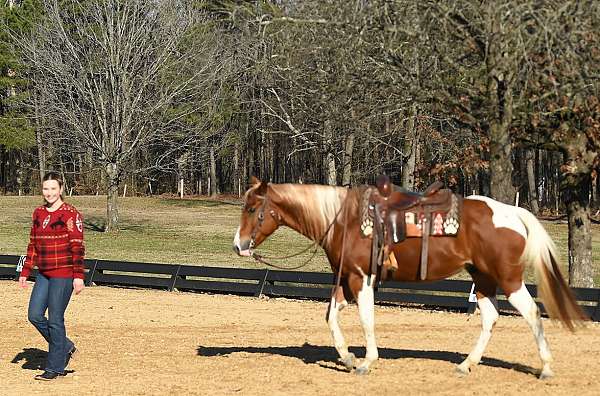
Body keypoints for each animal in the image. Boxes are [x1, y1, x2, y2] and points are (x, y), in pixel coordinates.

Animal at [233, 176, 584, 378]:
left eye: (251, 209)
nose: (239, 245)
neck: (343, 219)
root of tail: (513, 213)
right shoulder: (345, 280)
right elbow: (331, 317)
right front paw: (347, 358)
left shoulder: (362, 279)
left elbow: (367, 320)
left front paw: (366, 362)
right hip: (483, 278)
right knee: (491, 317)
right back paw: (467, 364)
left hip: (508, 278)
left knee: (532, 312)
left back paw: (546, 367)